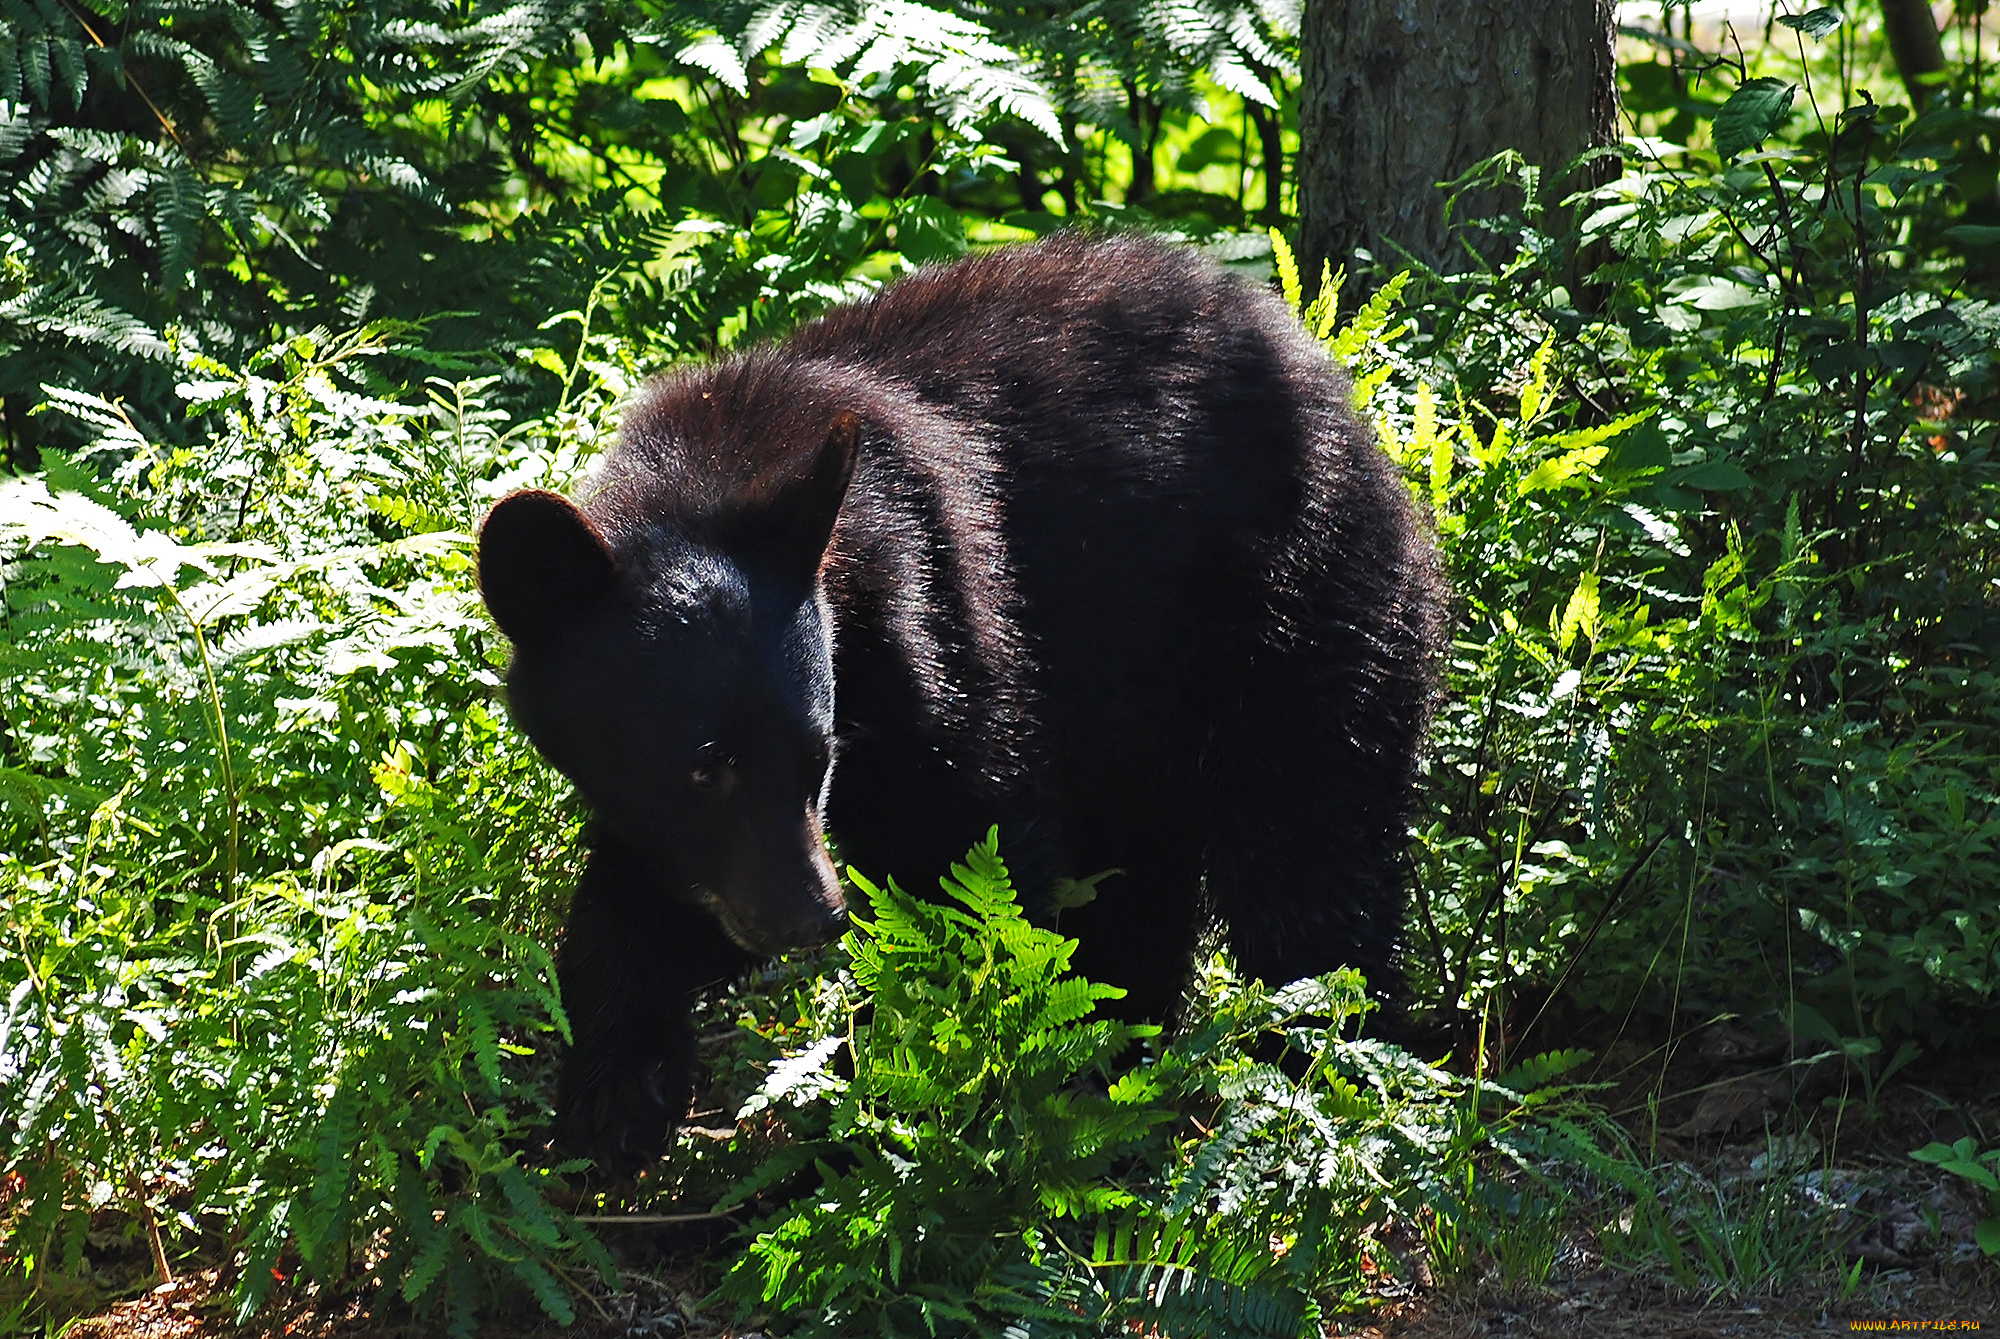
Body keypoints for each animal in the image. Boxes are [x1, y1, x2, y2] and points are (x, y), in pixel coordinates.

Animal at [476, 235, 1448, 1167]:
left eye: (817, 757)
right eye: (706, 765)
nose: (812, 916)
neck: (716, 467)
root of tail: (1342, 397)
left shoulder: (934, 614)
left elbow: (973, 855)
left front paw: (904, 1105)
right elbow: (650, 890)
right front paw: (613, 1092)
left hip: (1303, 608)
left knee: (1308, 854)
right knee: (1145, 875)